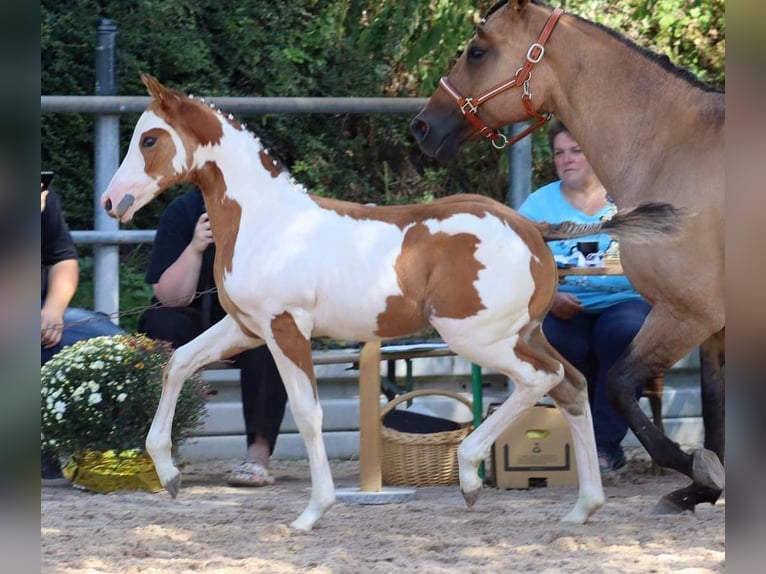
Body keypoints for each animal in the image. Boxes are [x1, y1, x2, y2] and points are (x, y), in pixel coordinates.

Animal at [100, 75, 684, 532]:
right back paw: (583, 507)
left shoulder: (285, 329)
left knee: (541, 381)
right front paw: (170, 475)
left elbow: (307, 414)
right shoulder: (245, 327)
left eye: (149, 139)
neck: (267, 222)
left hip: (477, 337)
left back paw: (471, 474)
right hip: (525, 332)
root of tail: (531, 228)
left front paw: (313, 512)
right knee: (573, 384)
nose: (111, 202)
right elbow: (177, 363)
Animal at [414, 0, 728, 512]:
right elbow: (714, 406)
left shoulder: (688, 313)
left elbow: (618, 385)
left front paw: (694, 469)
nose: (421, 126)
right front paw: (700, 489)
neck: (674, 150)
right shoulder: (709, 326)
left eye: (477, 51)